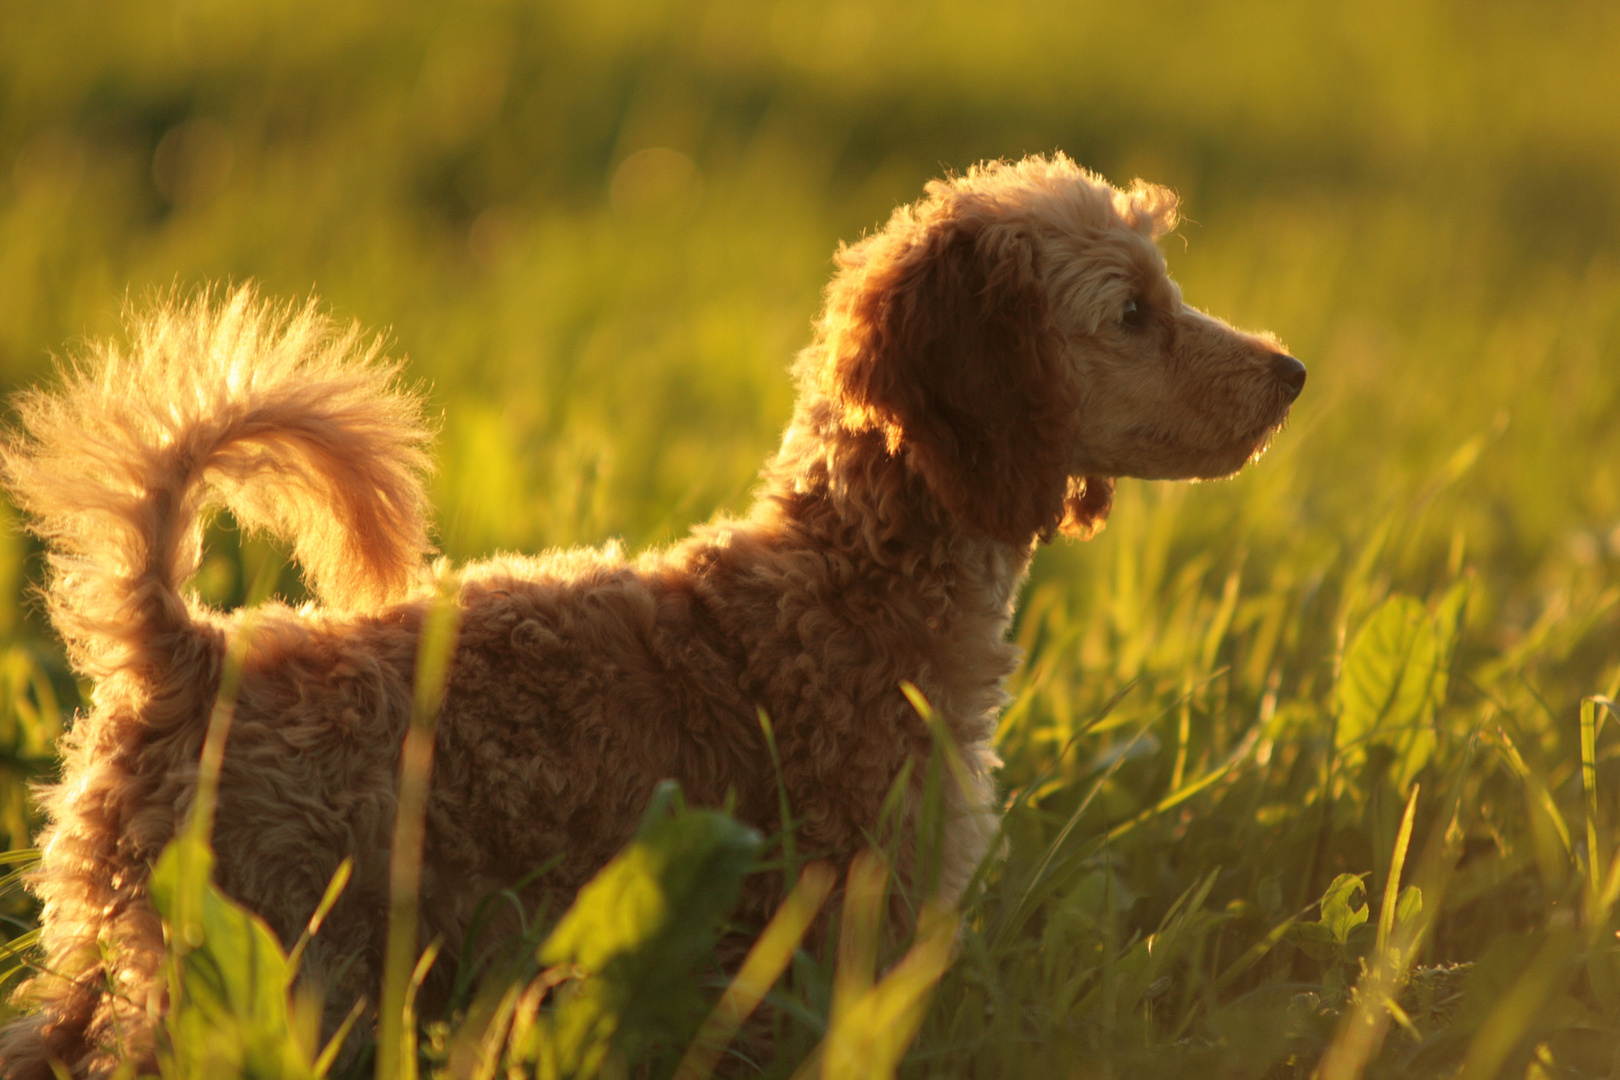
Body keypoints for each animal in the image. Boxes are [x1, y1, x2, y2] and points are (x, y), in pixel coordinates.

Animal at [0, 153, 1296, 1080]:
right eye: (1132, 313)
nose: (1291, 374)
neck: (846, 580)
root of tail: (190, 650)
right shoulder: (830, 928)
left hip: (127, 948)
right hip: (265, 959)